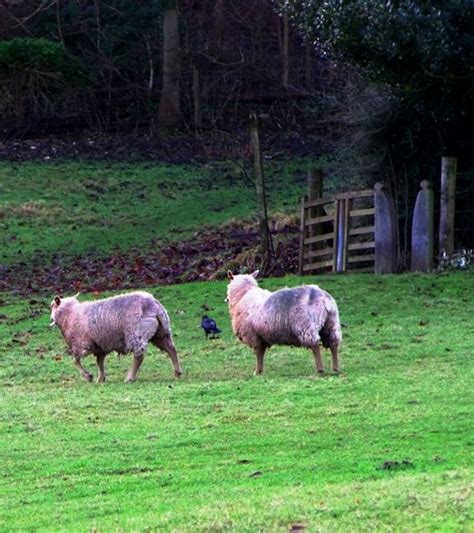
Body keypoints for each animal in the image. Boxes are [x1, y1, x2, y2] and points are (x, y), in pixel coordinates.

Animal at [50, 290, 182, 382]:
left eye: (51, 306)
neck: (70, 314)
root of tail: (155, 306)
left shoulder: (81, 344)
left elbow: (75, 361)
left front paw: (88, 376)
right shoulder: (100, 346)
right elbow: (99, 362)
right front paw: (100, 379)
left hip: (136, 334)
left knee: (139, 356)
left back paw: (129, 377)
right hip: (161, 332)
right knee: (171, 349)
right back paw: (178, 372)